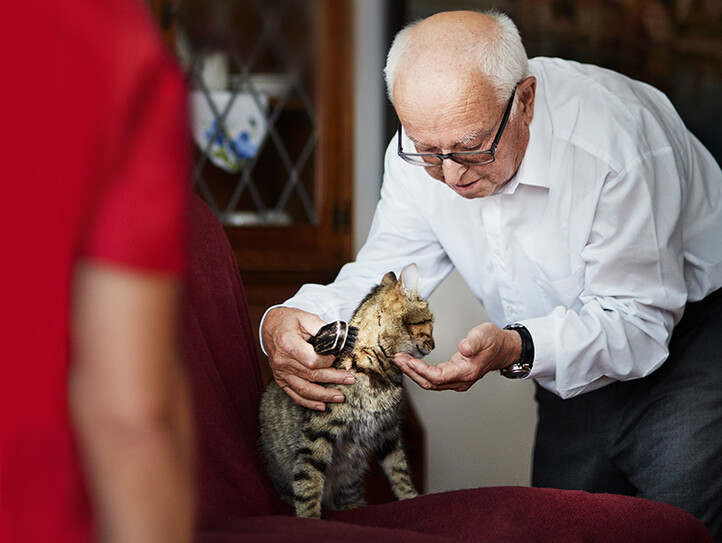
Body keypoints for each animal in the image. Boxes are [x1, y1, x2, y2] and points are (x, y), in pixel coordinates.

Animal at [258, 264, 434, 520]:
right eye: (430, 322)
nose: (434, 344)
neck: (377, 369)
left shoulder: (388, 431)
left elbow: (399, 469)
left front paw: (411, 497)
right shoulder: (317, 433)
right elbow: (308, 482)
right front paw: (310, 519)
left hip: (352, 478)